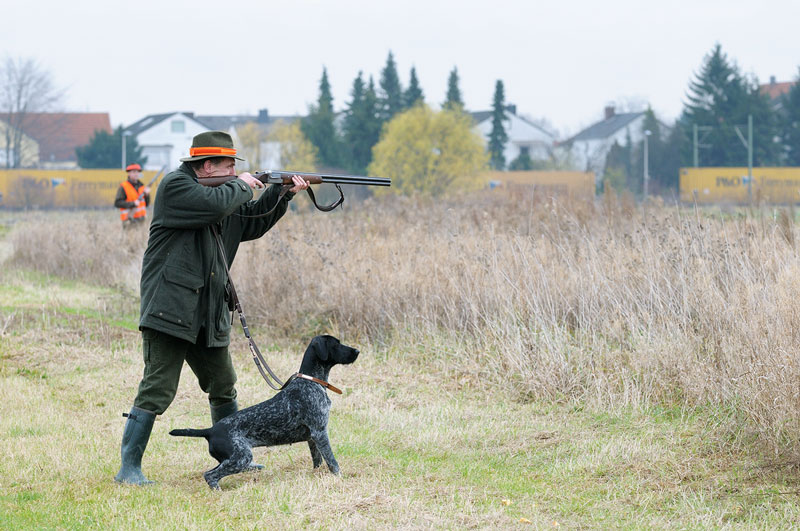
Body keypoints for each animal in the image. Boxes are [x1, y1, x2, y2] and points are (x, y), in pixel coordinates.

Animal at [171, 336, 360, 490]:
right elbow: (332, 461)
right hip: (241, 457)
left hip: (234, 459)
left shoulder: (312, 438)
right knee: (210, 475)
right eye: (336, 344)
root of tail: (210, 430)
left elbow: (318, 461)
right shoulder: (320, 432)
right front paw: (340, 478)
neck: (311, 381)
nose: (357, 351)